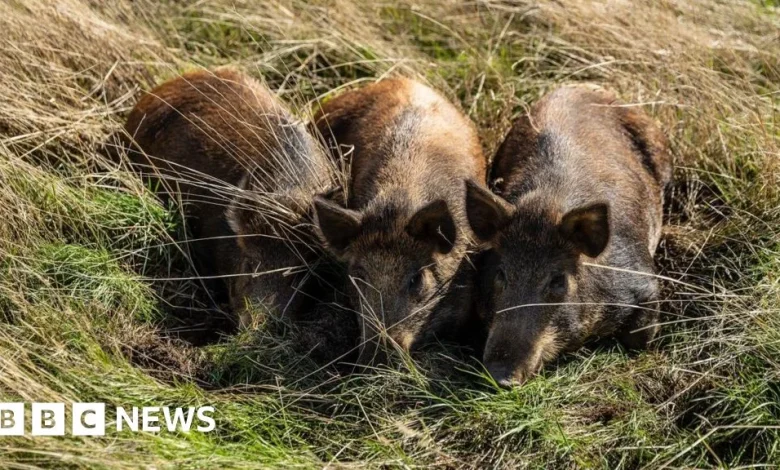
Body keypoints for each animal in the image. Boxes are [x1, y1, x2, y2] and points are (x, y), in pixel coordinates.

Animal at [466, 85, 672, 386]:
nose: (500, 377)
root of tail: (583, 86)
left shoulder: (644, 284)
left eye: (557, 280)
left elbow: (640, 339)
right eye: (501, 274)